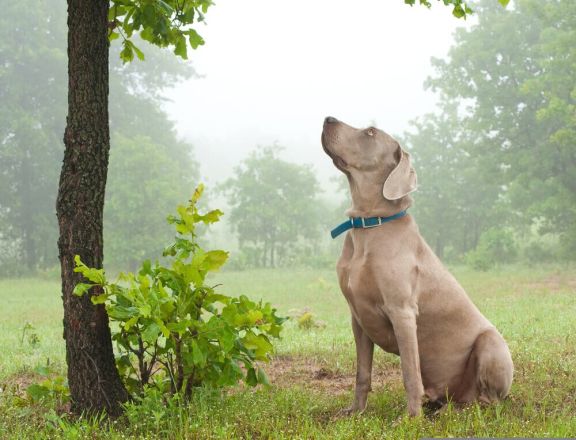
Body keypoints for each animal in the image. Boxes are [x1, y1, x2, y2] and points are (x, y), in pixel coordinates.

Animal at [320, 116, 512, 416]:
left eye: (370, 132)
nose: (328, 118)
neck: (369, 225)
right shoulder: (357, 316)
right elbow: (362, 373)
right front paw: (355, 412)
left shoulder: (403, 311)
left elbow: (410, 372)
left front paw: (411, 418)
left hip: (492, 343)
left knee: (487, 402)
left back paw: (454, 411)